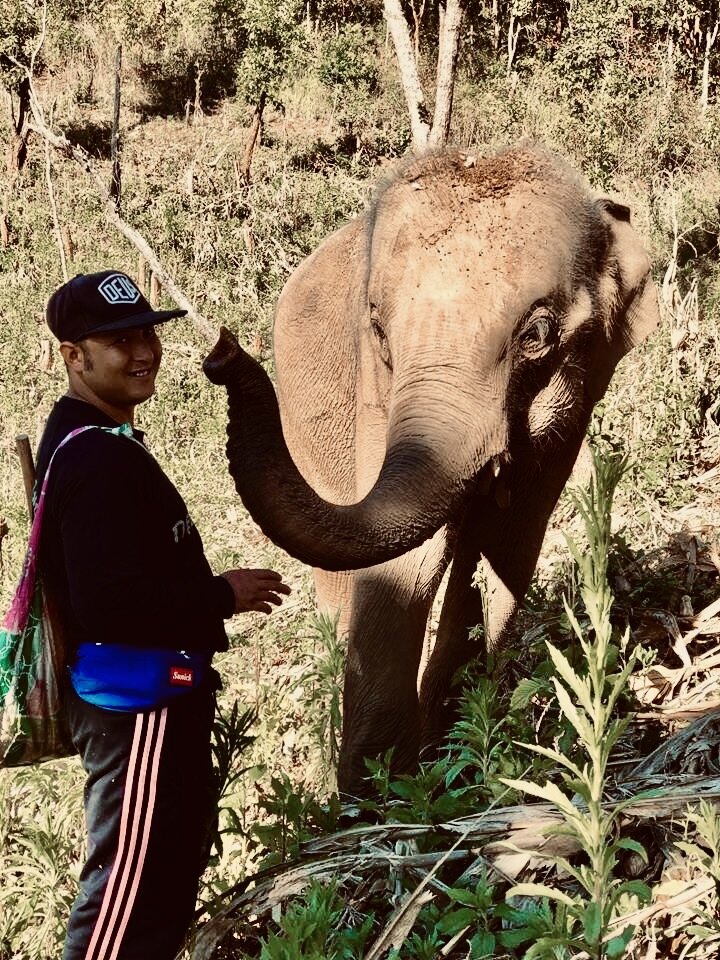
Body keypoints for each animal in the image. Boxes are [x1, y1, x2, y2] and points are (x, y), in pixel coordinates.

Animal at [204, 145, 659, 799]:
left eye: (537, 335)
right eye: (377, 328)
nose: (222, 351)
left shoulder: (580, 400)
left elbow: (510, 543)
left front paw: (451, 759)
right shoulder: (374, 388)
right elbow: (408, 563)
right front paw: (378, 797)